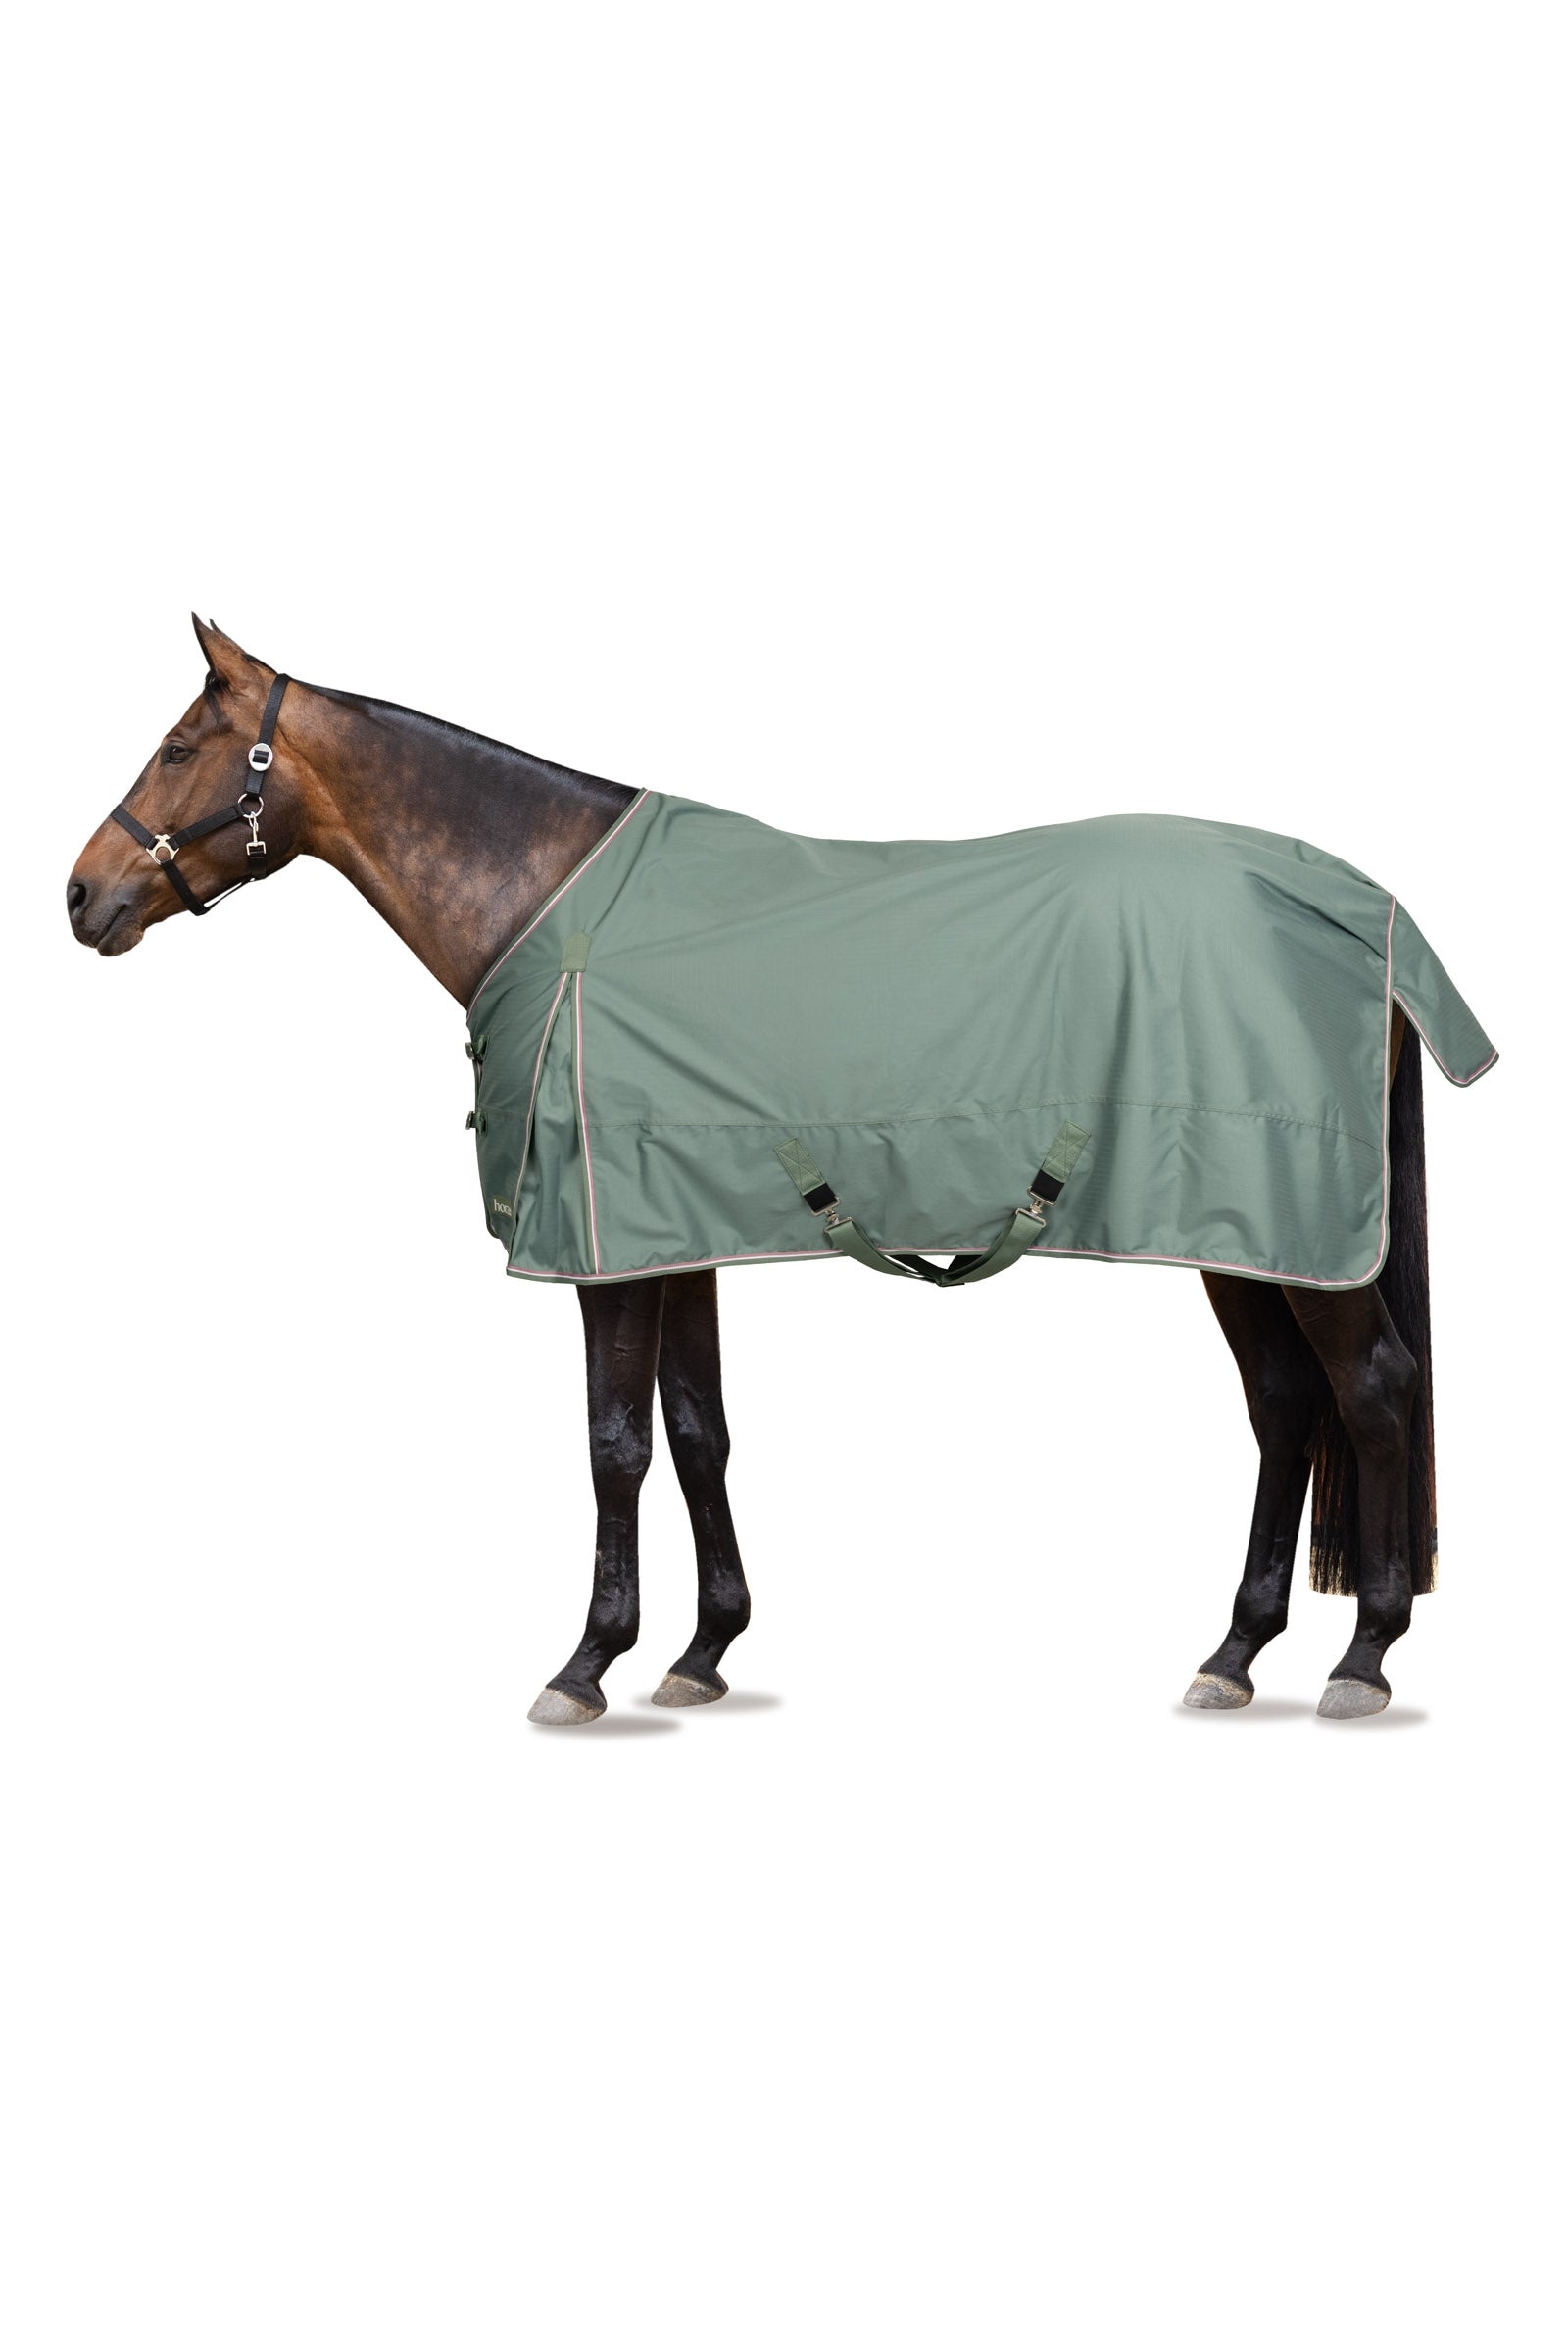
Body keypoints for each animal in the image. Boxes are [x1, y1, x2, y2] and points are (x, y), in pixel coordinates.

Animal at [67, 617, 1490, 1726]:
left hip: (1293, 1235)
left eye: (181, 747)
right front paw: (701, 1652)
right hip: (1235, 1234)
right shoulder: (675, 1233)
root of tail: (1363, 909)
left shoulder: (604, 1253)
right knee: (1286, 1408)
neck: (549, 904)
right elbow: (699, 1432)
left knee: (1370, 1391)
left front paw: (586, 1664)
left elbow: (615, 1447)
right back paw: (1236, 1652)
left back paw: (1363, 1657)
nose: (81, 896)